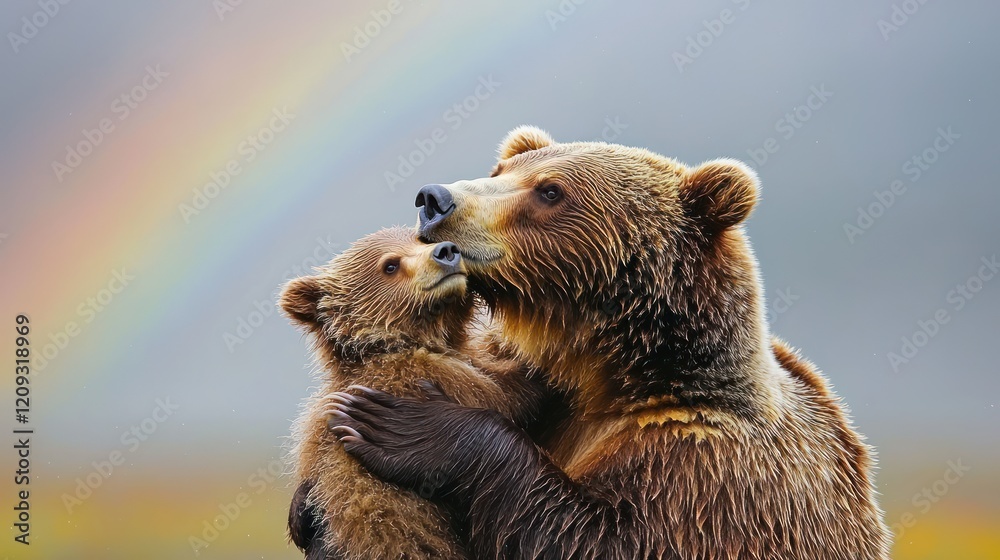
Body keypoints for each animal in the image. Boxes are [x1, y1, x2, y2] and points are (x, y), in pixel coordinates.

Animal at [280, 226, 550, 560]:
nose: (446, 251)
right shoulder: (419, 378)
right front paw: (534, 365)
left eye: (421, 240)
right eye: (390, 265)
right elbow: (504, 395)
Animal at [326, 126, 893, 559]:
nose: (434, 200)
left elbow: (599, 538)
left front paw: (406, 426)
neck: (612, 376)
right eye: (499, 171)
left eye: (550, 191)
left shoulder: (704, 473)